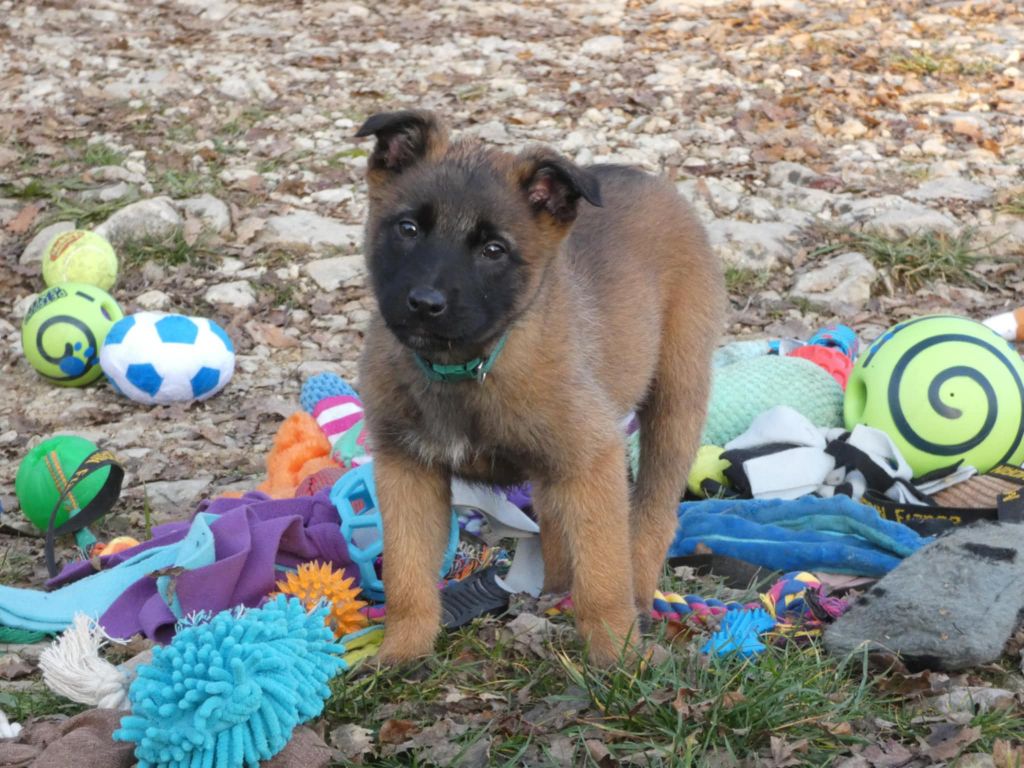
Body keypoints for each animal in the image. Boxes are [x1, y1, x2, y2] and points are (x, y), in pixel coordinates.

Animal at [356, 109, 724, 667]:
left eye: (494, 250)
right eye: (407, 228)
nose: (425, 303)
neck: (468, 366)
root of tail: (644, 176)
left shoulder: (593, 456)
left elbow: (603, 576)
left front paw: (618, 658)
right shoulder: (406, 467)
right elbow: (408, 573)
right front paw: (401, 653)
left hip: (677, 394)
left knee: (654, 513)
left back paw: (637, 597)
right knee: (553, 515)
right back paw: (551, 589)